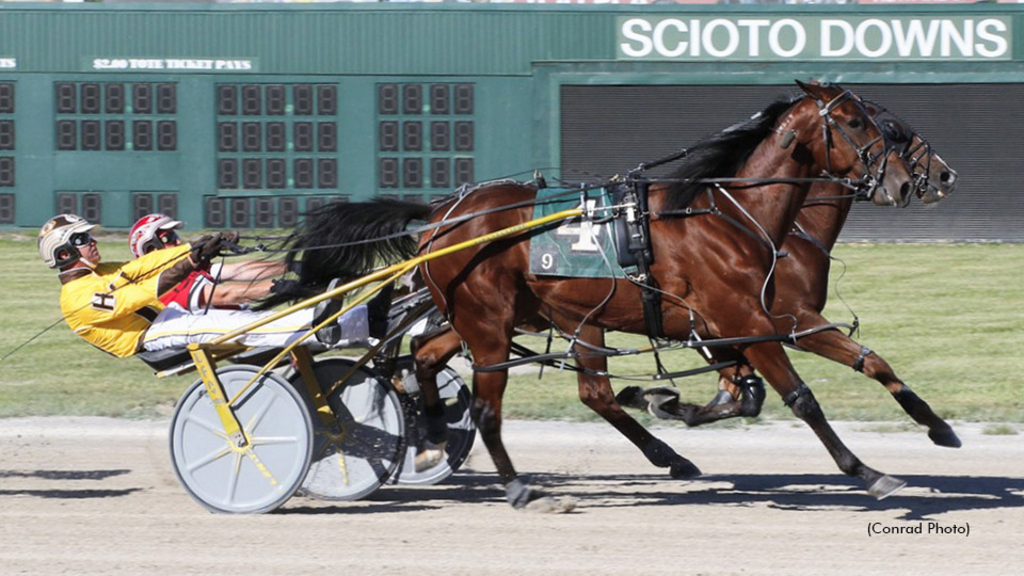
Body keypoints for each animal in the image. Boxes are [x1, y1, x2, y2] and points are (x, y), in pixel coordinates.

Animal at [284, 80, 917, 506]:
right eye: (856, 122)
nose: (907, 180)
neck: (730, 216)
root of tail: (442, 213)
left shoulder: (734, 326)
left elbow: (755, 391)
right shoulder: (748, 320)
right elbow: (800, 398)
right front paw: (868, 471)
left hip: (515, 316)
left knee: (434, 359)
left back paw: (436, 437)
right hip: (490, 324)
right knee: (487, 406)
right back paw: (516, 485)